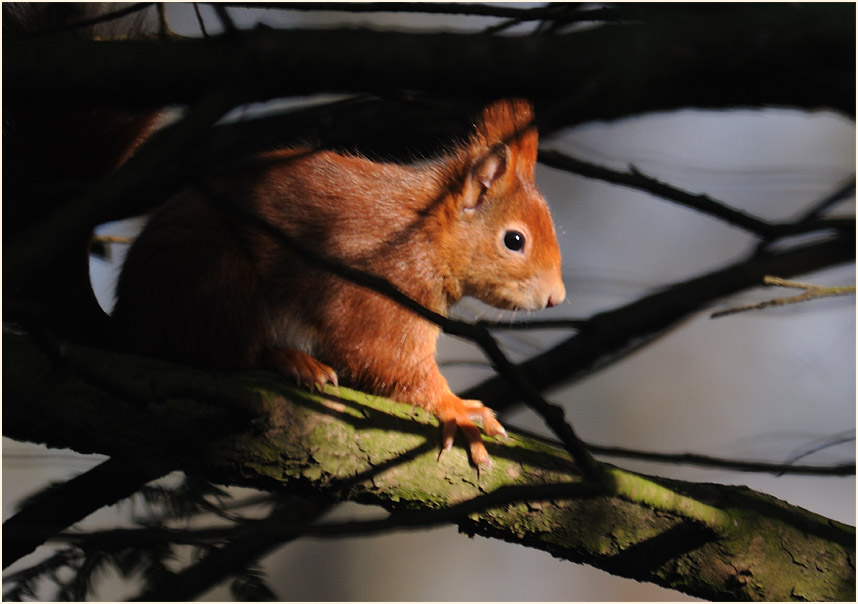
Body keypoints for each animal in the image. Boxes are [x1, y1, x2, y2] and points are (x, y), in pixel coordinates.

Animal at [113, 99, 565, 468]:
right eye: (514, 240)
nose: (556, 298)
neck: (426, 232)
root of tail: (126, 314)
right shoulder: (382, 284)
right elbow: (381, 355)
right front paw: (454, 405)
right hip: (215, 273)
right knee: (220, 349)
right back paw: (288, 358)